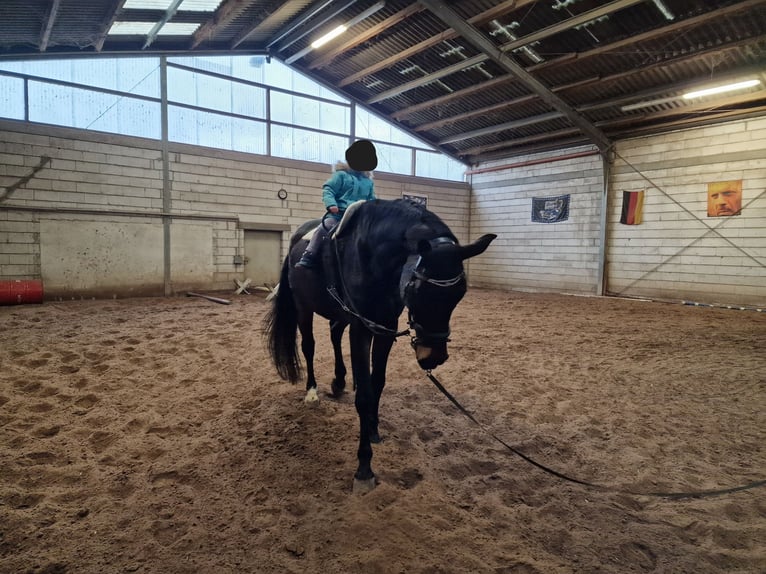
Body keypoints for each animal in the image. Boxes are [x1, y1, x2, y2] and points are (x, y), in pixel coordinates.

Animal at [266, 199, 498, 496]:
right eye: (418, 291)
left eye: (460, 294)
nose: (433, 357)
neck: (375, 258)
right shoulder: (362, 328)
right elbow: (364, 395)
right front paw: (364, 469)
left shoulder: (385, 326)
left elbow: (377, 382)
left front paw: (374, 429)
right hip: (303, 307)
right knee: (309, 346)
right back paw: (312, 392)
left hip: (339, 314)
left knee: (334, 333)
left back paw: (339, 381)